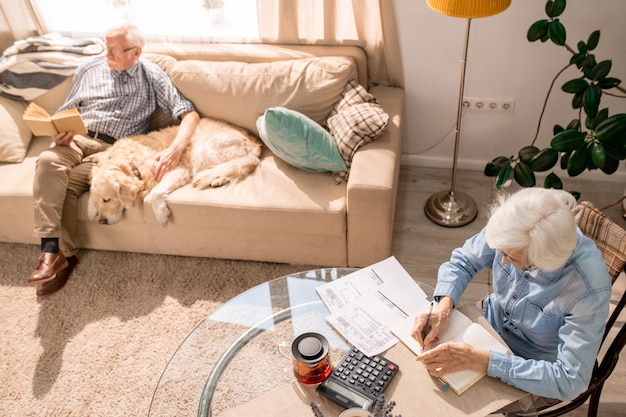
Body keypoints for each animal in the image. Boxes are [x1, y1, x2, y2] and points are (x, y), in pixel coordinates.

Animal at [87, 117, 258, 226]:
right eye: (100, 200)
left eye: (107, 200)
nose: (101, 222)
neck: (130, 162)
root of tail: (254, 142)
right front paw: (91, 208)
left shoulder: (176, 168)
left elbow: (155, 192)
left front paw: (161, 213)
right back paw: (218, 179)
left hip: (204, 148)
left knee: (243, 162)